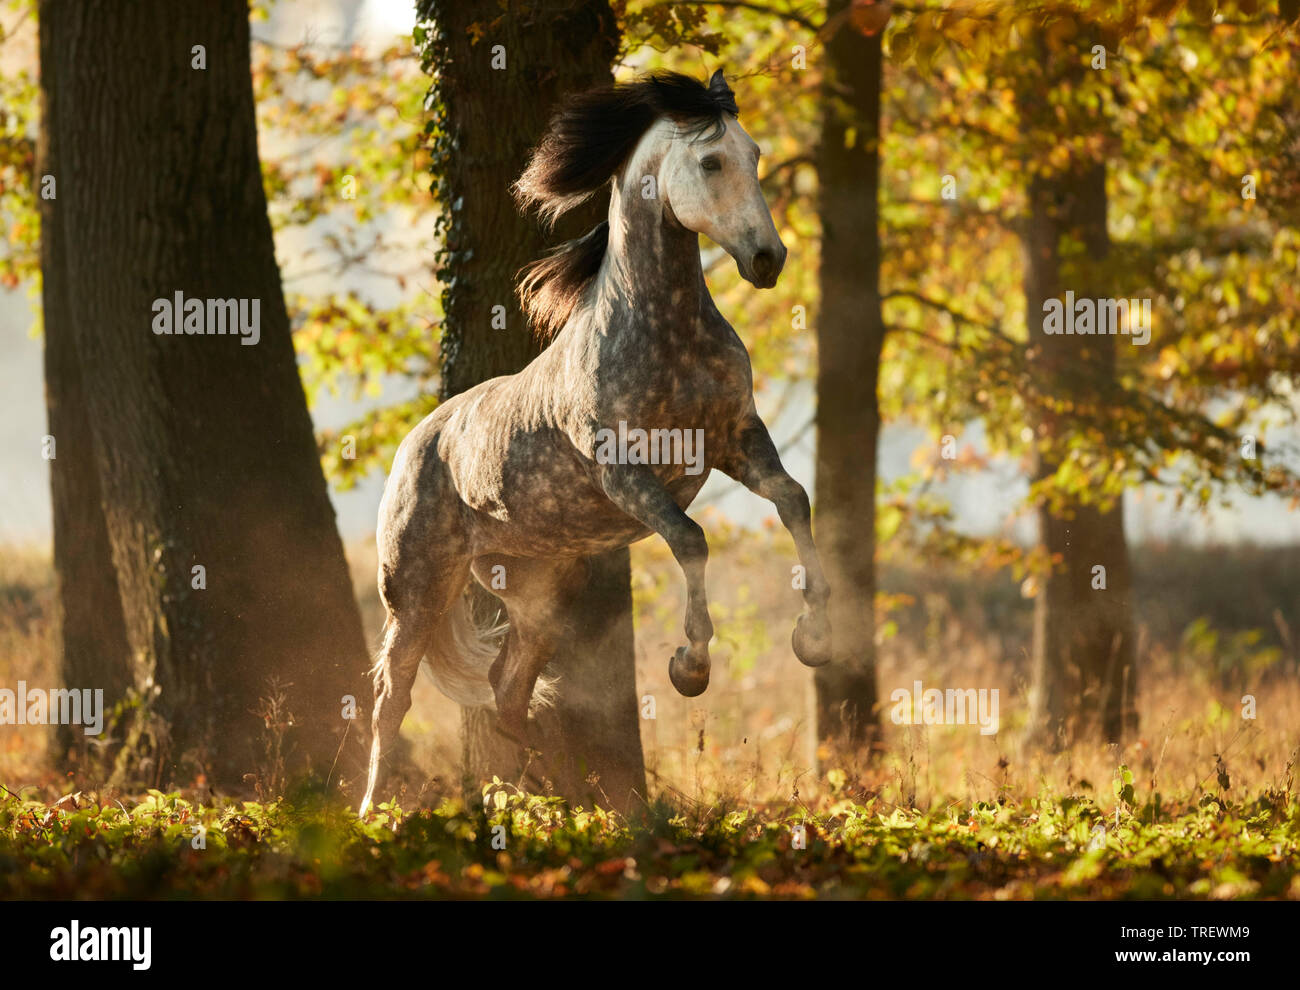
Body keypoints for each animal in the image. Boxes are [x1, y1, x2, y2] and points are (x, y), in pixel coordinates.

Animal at [361, 69, 832, 815]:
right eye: (711, 161)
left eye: (755, 154)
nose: (768, 258)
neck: (665, 334)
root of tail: (416, 443)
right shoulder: (626, 474)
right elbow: (692, 539)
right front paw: (689, 667)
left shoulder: (735, 438)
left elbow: (793, 500)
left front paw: (812, 638)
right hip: (416, 588)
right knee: (391, 698)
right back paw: (375, 812)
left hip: (539, 595)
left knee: (507, 691)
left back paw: (551, 803)